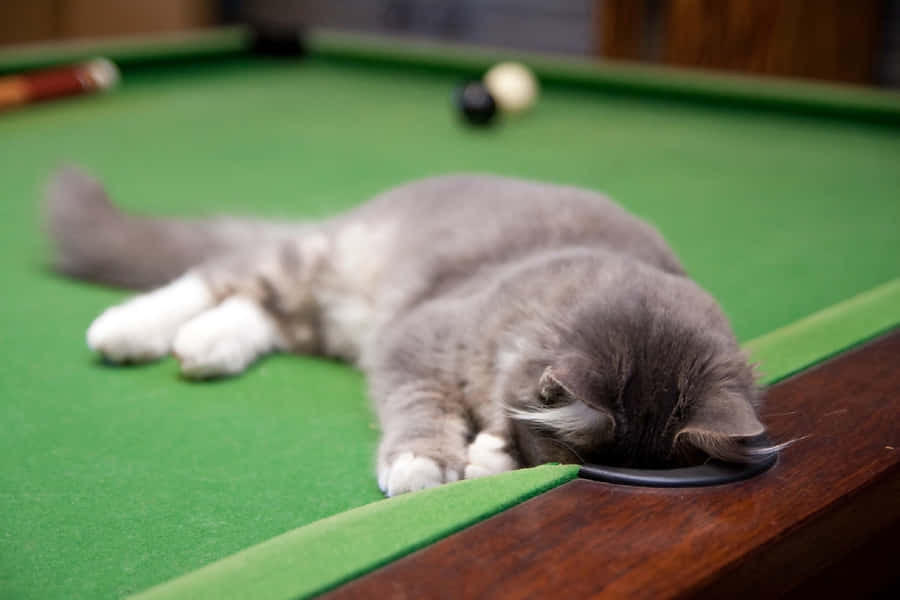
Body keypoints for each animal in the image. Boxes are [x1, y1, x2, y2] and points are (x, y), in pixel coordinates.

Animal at [45, 166, 776, 494]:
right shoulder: (416, 340)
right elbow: (420, 406)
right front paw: (425, 464)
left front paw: (488, 455)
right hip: (312, 264)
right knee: (213, 276)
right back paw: (126, 330)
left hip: (323, 314)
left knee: (259, 316)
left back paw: (204, 347)